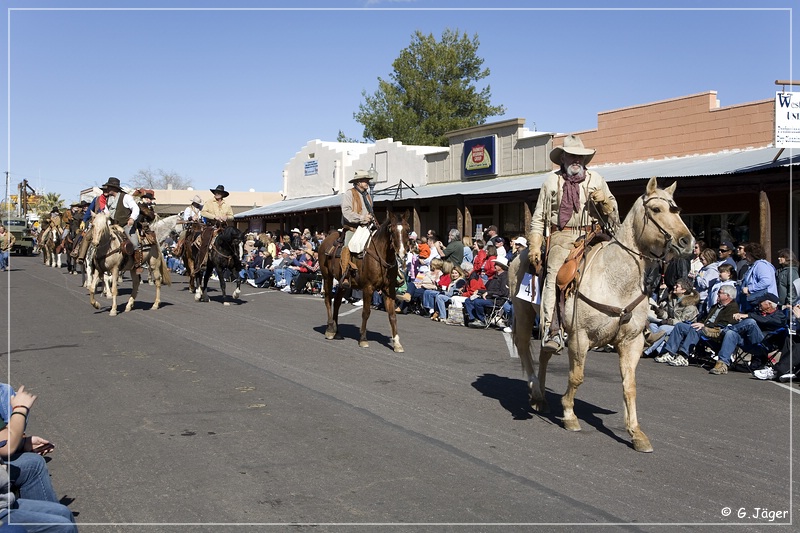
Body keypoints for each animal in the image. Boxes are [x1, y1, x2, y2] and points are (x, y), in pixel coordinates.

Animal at [318, 210, 410, 352]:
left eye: (407, 229)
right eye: (392, 229)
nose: (402, 254)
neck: (381, 257)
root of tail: (325, 240)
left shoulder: (389, 290)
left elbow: (392, 315)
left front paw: (397, 343)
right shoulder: (368, 288)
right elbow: (366, 312)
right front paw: (363, 339)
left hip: (343, 283)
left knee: (337, 302)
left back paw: (336, 331)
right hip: (327, 277)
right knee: (328, 300)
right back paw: (329, 330)